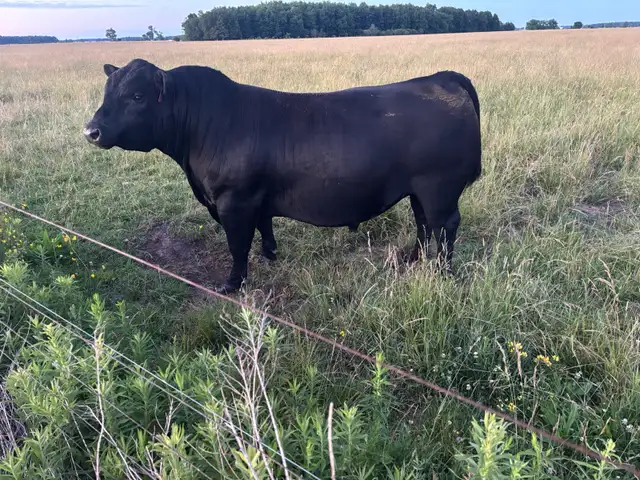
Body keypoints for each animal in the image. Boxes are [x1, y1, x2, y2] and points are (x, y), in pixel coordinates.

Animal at [84, 58, 482, 294]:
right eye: (107, 91)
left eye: (137, 96)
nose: (91, 131)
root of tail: (440, 78)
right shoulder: (255, 199)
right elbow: (264, 227)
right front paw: (271, 254)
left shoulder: (233, 201)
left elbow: (237, 245)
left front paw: (232, 285)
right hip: (417, 189)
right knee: (423, 223)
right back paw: (413, 259)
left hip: (439, 187)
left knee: (444, 227)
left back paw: (442, 272)